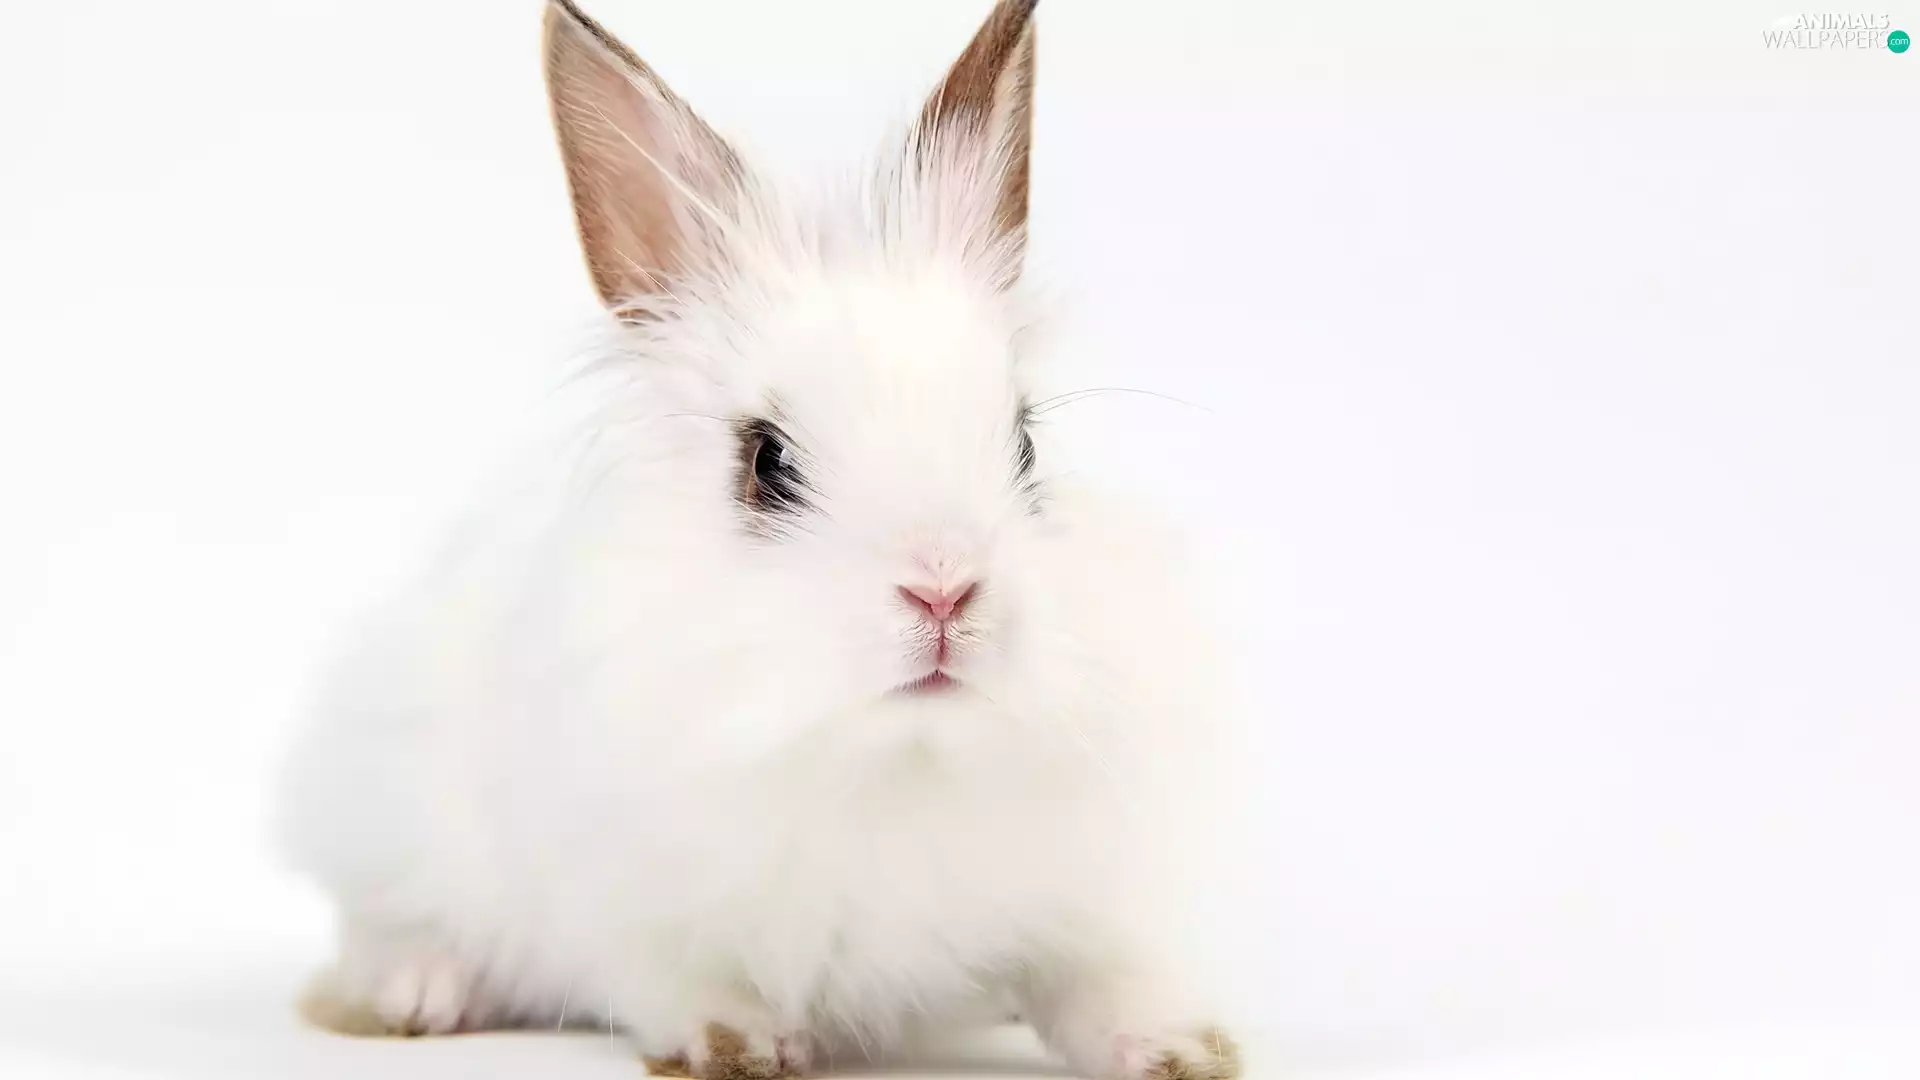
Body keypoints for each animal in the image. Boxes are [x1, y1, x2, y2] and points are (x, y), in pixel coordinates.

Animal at [276, 1, 1243, 1077]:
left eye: (1026, 444)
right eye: (767, 459)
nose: (944, 589)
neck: (891, 758)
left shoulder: (1068, 896)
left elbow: (1089, 976)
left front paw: (1177, 1046)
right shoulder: (612, 900)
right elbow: (664, 976)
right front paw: (739, 1042)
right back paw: (414, 995)